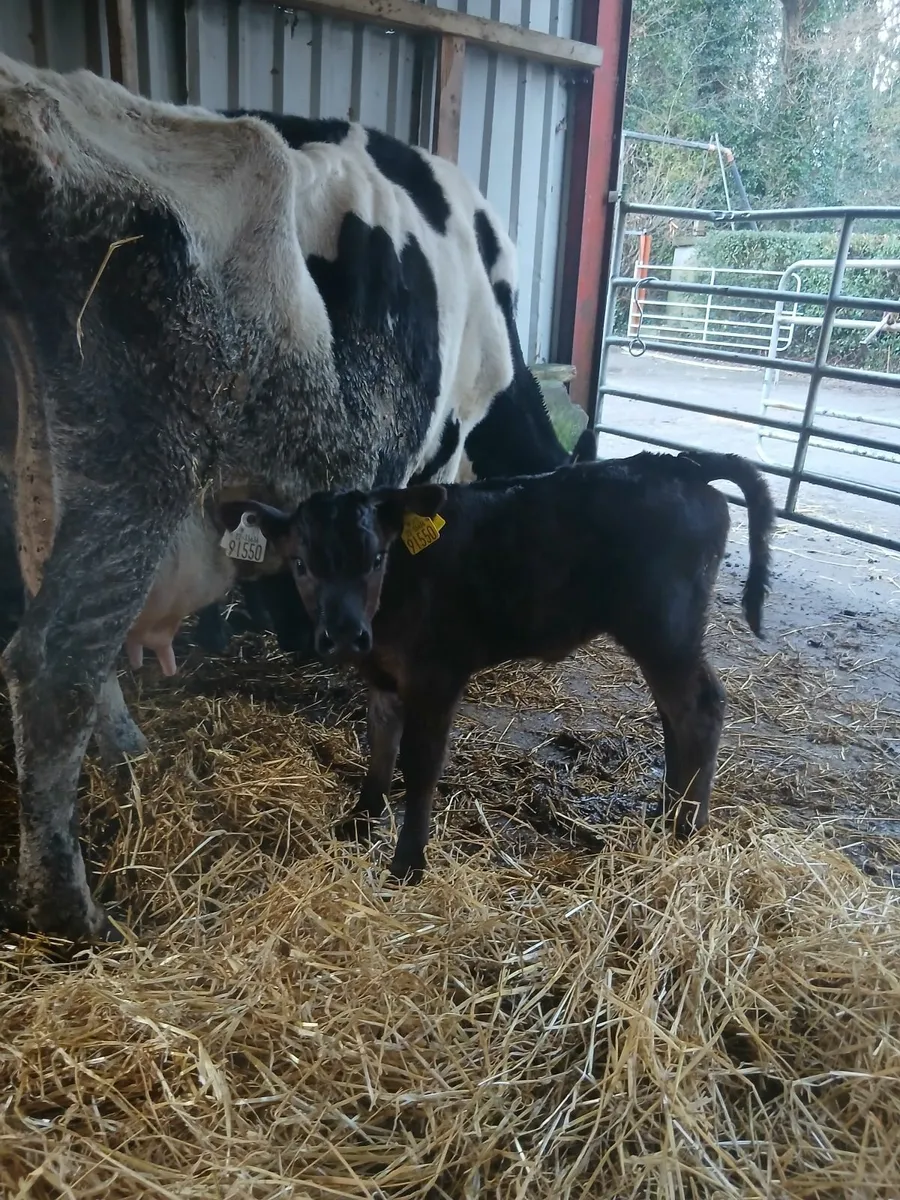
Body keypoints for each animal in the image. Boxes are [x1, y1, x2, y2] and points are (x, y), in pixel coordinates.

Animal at [0, 54, 590, 940]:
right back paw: (73, 910)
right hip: (140, 460)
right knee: (54, 659)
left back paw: (132, 762)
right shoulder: (439, 446)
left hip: (45, 461)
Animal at [225, 450, 774, 882]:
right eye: (301, 564)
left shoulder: (437, 676)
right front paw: (359, 821)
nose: (344, 634)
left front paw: (408, 864)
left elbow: (420, 764)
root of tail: (679, 464)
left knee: (700, 707)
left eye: (377, 558)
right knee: (673, 712)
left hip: (666, 627)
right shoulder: (382, 676)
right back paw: (666, 810)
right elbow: (379, 745)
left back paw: (688, 825)